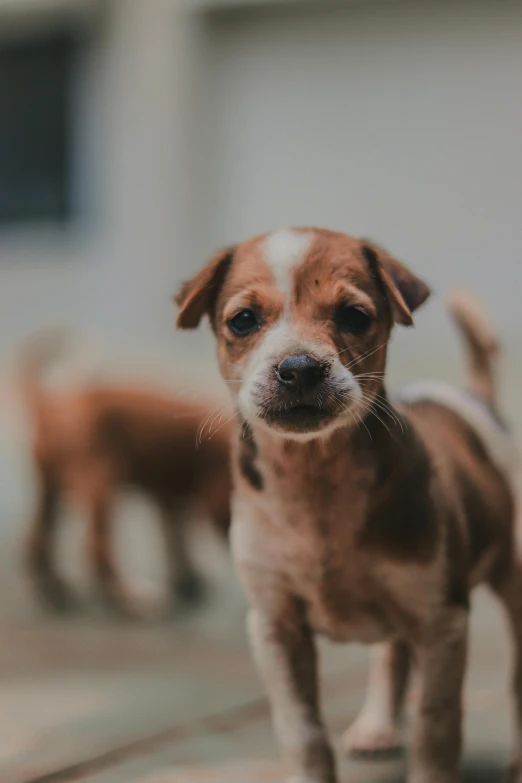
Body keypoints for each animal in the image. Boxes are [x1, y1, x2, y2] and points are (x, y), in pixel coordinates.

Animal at [18, 330, 230, 620]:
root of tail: (52, 403)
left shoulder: (172, 494)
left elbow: (175, 535)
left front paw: (187, 579)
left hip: (50, 485)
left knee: (36, 540)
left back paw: (54, 590)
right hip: (99, 482)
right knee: (96, 550)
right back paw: (129, 599)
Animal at [176, 230, 520, 783]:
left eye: (354, 316)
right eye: (243, 320)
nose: (299, 369)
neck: (315, 482)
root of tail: (472, 399)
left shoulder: (441, 620)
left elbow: (435, 725)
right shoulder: (275, 626)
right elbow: (303, 732)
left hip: (514, 574)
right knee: (389, 656)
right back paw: (376, 727)